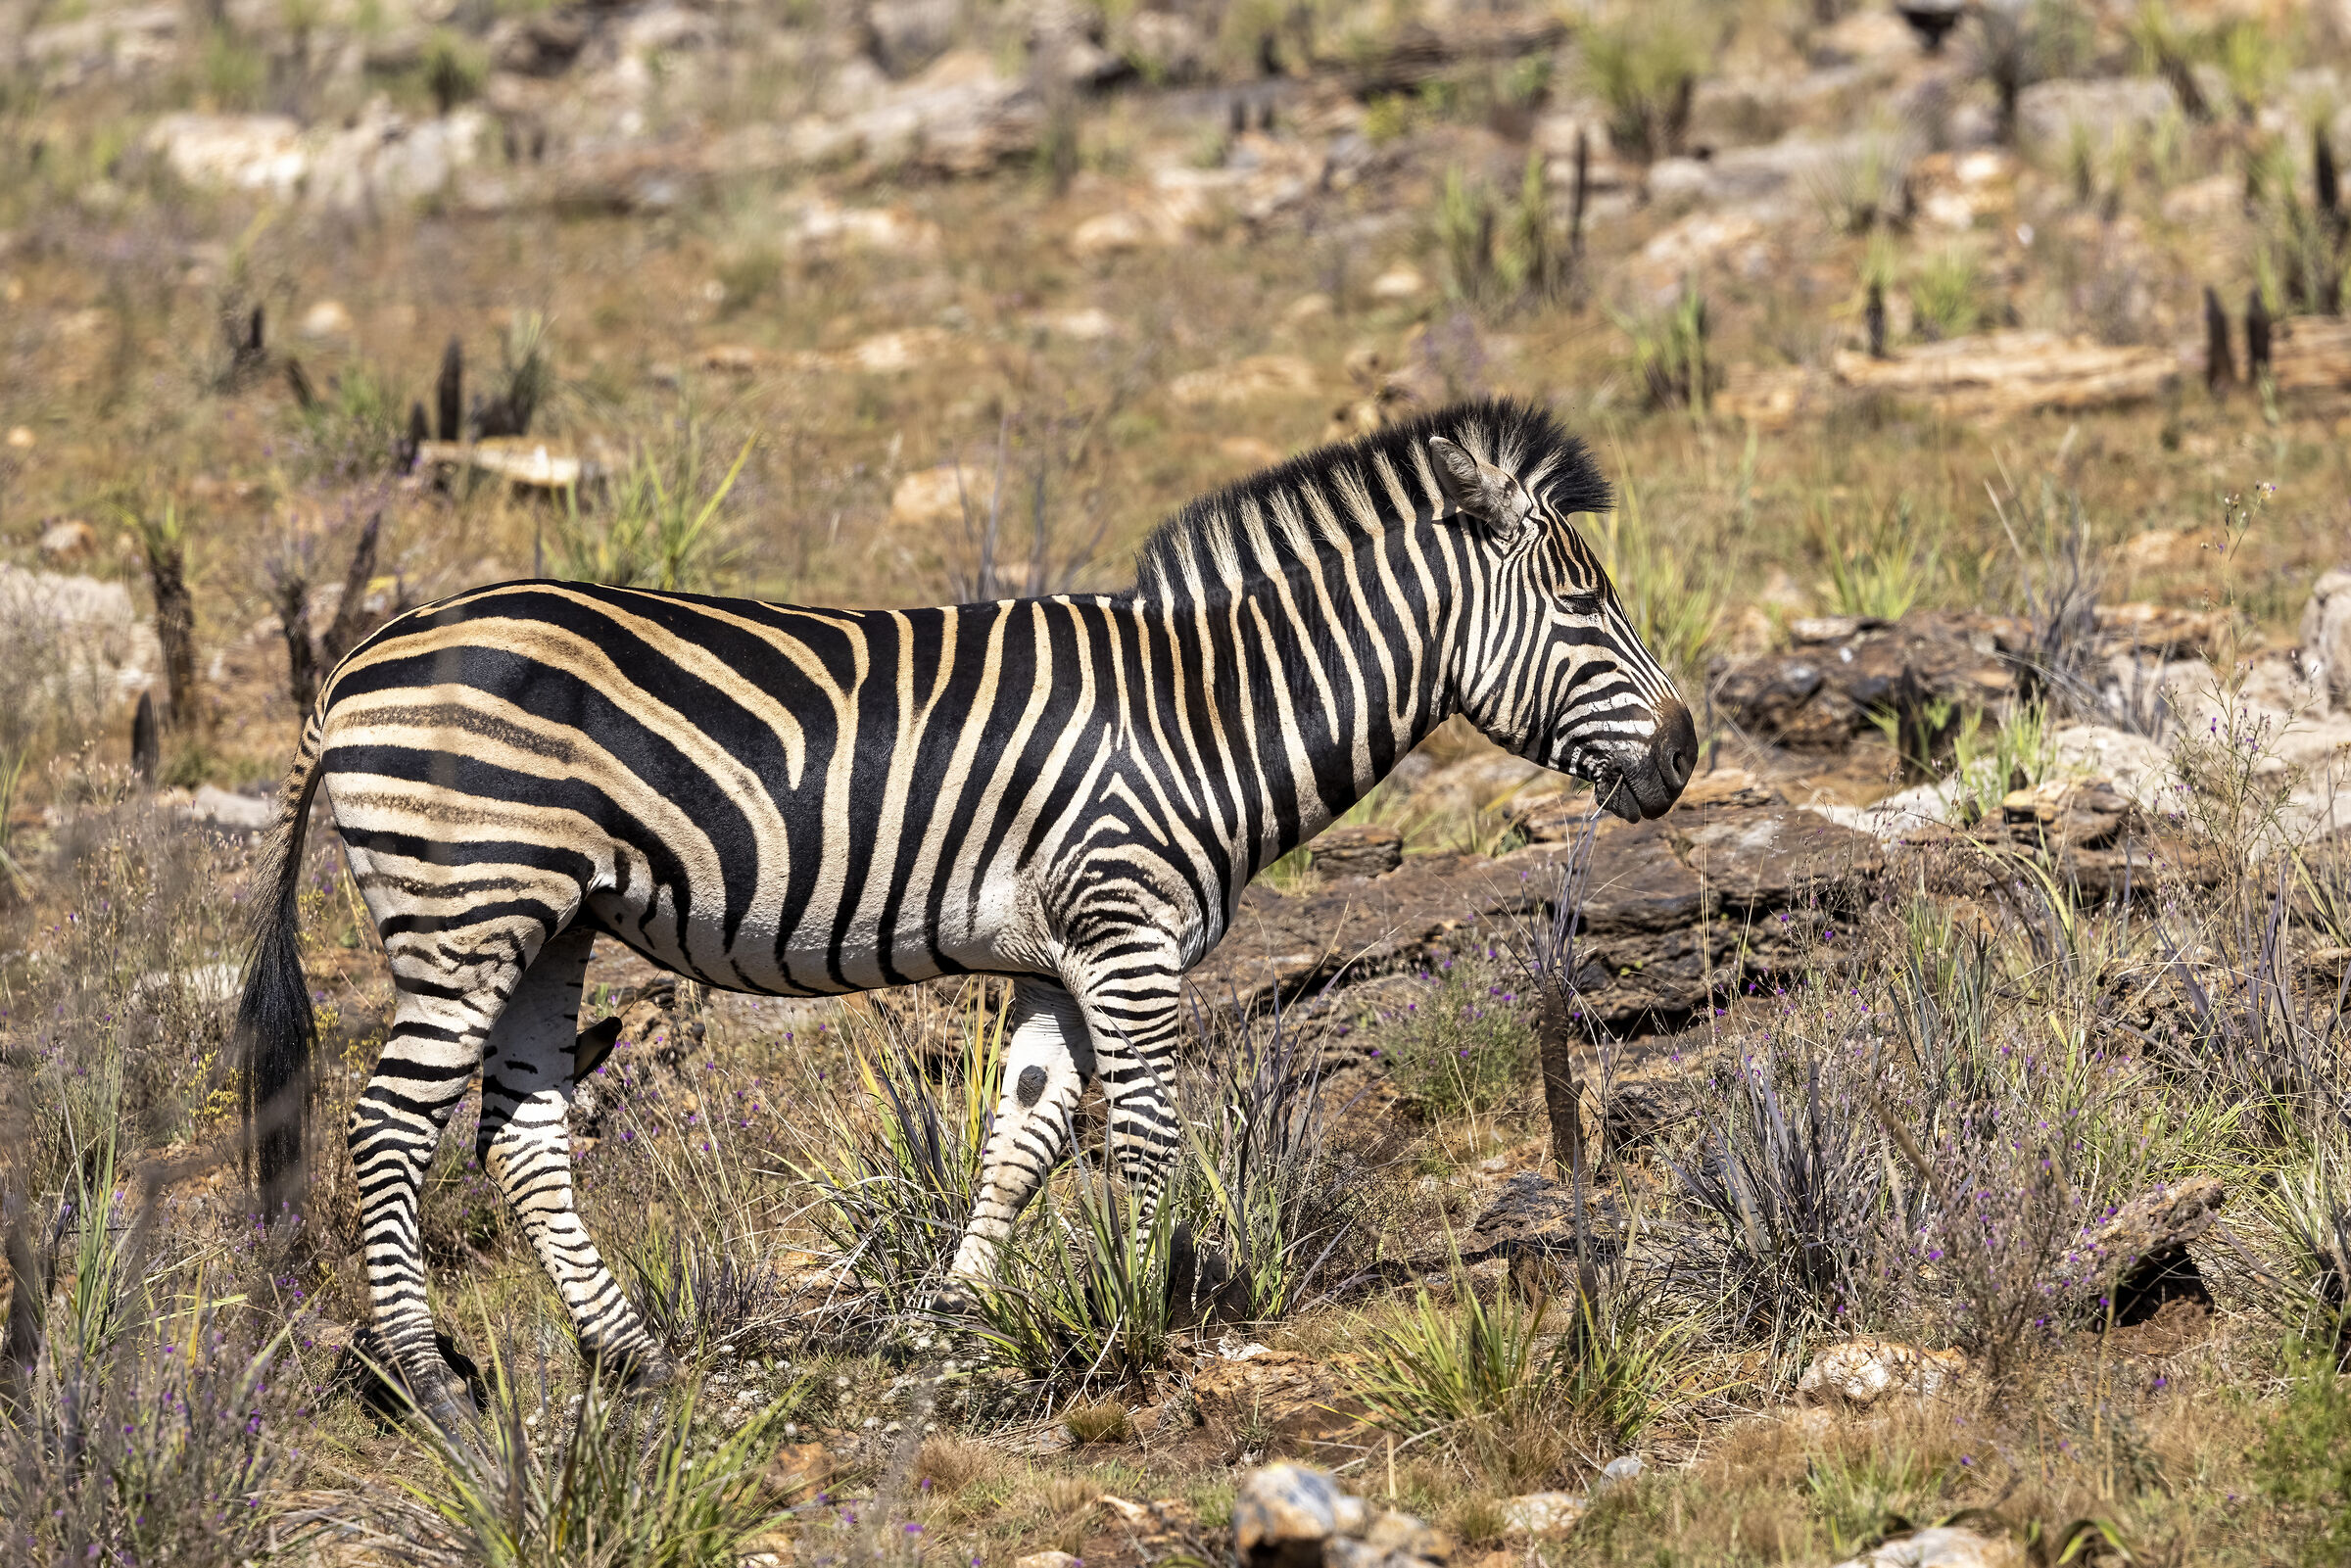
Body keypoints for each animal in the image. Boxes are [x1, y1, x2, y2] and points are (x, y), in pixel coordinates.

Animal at [236, 396, 1695, 1426]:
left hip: (552, 921)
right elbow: (1147, 1137)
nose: (1685, 754)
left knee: (523, 1133)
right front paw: (1148, 1317)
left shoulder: (1058, 955)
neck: (1207, 714)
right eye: (1583, 601)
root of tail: (359, 659)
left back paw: (637, 1358)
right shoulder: (1129, 933)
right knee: (387, 1127)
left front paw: (953, 1321)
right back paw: (436, 1387)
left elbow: (1025, 1137)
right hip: (468, 904)